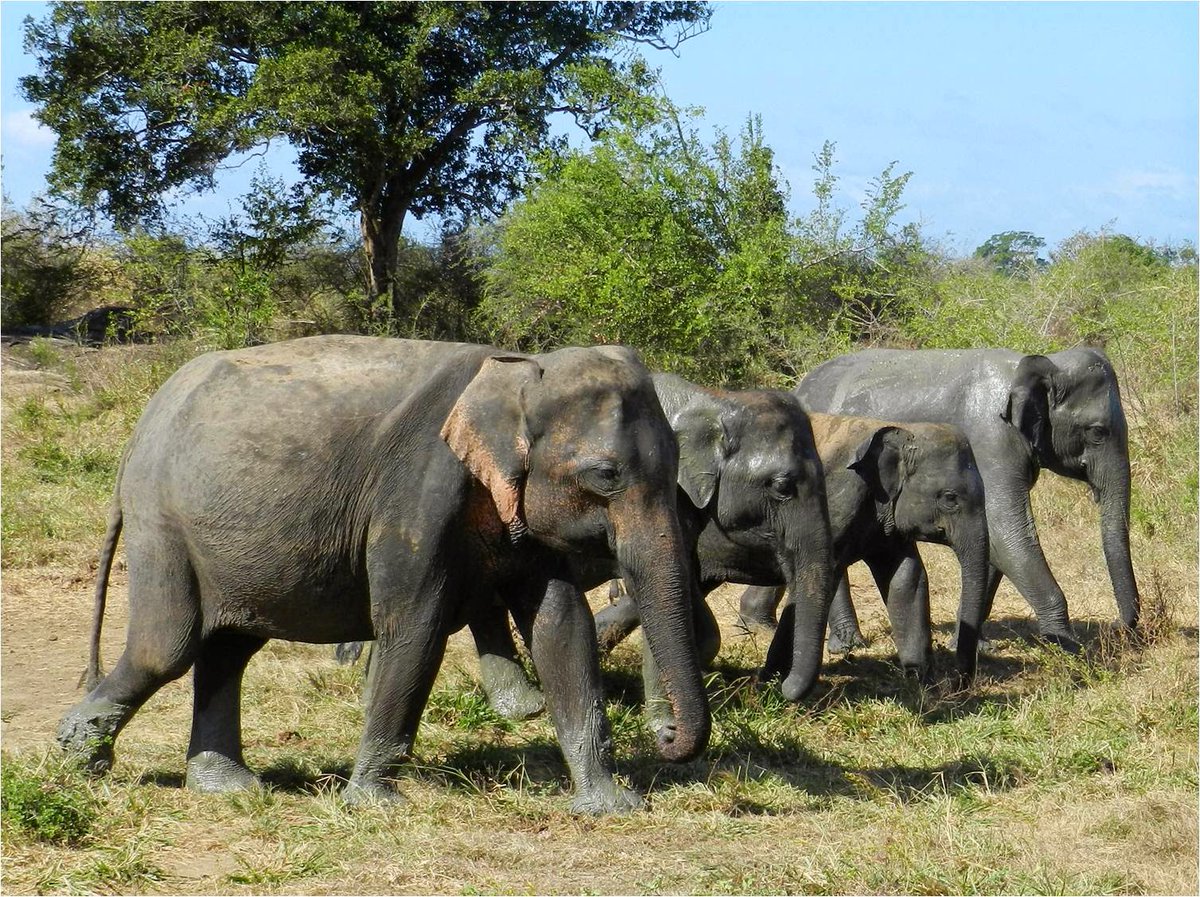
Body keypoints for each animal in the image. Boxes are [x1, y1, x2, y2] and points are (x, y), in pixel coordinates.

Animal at [55, 335, 711, 815]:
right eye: (605, 476)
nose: (665, 737)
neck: (521, 368)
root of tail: (141, 426)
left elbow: (560, 624)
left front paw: (611, 805)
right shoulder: (416, 492)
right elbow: (415, 624)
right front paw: (374, 805)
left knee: (228, 649)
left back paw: (227, 785)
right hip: (161, 521)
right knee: (167, 646)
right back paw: (76, 757)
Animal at [737, 413, 990, 683]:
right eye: (950, 498)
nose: (957, 680)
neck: (903, 431)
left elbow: (907, 578)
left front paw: (920, 680)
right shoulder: (835, 499)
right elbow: (815, 576)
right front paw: (771, 680)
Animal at [787, 347, 1139, 651]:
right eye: (1097, 432)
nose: (1118, 628)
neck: (1038, 363)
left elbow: (993, 541)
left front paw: (971, 646)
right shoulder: (991, 440)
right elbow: (1005, 530)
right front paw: (1066, 648)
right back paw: (847, 646)